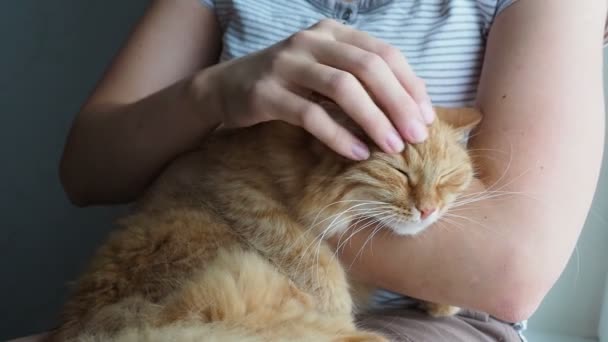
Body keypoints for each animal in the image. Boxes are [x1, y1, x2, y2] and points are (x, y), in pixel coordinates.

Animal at [52, 105, 480, 340]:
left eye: (447, 177)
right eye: (399, 173)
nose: (428, 210)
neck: (297, 165)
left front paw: (441, 302)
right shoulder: (245, 198)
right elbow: (315, 262)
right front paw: (337, 309)